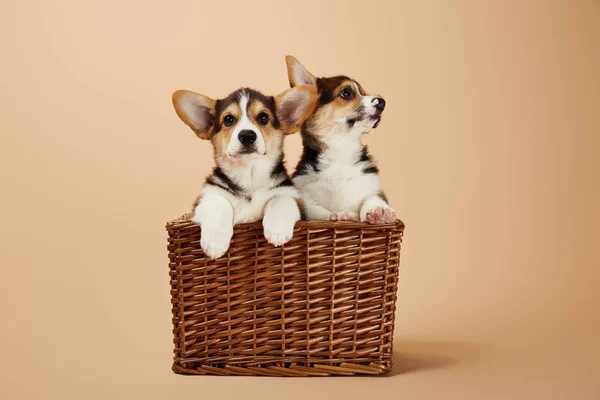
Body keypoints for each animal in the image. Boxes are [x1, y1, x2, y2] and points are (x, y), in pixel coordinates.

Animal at [171, 85, 316, 258]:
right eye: (228, 119)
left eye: (263, 117)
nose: (247, 135)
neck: (249, 176)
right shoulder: (204, 200)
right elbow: (219, 202)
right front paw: (215, 242)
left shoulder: (293, 198)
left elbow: (281, 199)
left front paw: (277, 230)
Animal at [288, 56, 398, 225]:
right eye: (346, 93)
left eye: (363, 93)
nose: (382, 102)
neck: (341, 147)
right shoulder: (305, 196)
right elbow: (317, 210)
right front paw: (340, 215)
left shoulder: (372, 187)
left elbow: (373, 199)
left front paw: (380, 211)